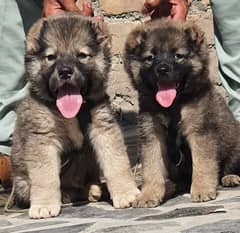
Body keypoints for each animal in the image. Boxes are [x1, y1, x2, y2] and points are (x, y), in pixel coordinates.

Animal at [11, 14, 139, 218]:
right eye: (51, 57)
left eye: (82, 55)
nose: (65, 72)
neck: (74, 113)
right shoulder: (43, 139)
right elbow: (45, 176)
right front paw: (44, 205)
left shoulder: (103, 128)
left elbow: (116, 163)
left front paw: (126, 193)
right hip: (23, 185)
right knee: (64, 190)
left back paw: (94, 189)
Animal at [124, 18, 240, 208]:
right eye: (150, 58)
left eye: (177, 56)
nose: (163, 69)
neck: (172, 107)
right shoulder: (151, 135)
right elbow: (152, 168)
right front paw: (149, 194)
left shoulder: (200, 132)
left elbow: (203, 163)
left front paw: (202, 189)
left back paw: (230, 177)